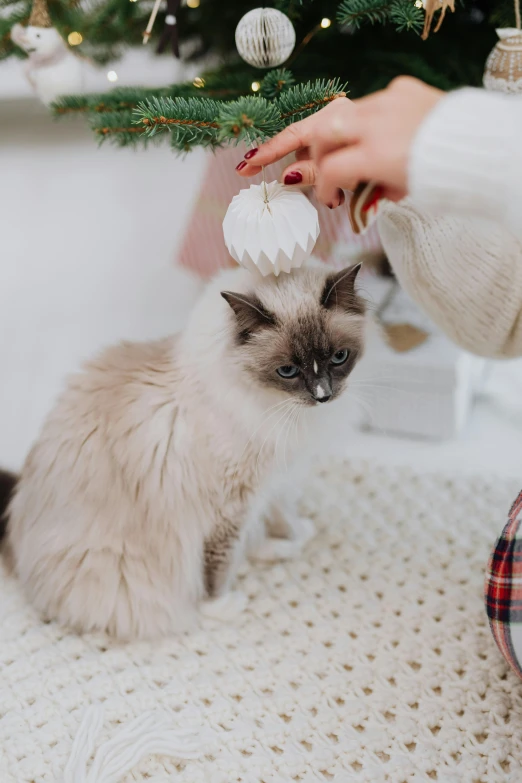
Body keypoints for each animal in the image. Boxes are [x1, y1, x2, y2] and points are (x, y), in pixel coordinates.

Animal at [0, 262, 366, 636]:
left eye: (339, 357)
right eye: (288, 371)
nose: (323, 395)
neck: (276, 405)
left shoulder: (272, 480)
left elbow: (280, 513)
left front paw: (296, 531)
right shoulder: (230, 507)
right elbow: (217, 566)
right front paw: (220, 606)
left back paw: (283, 547)